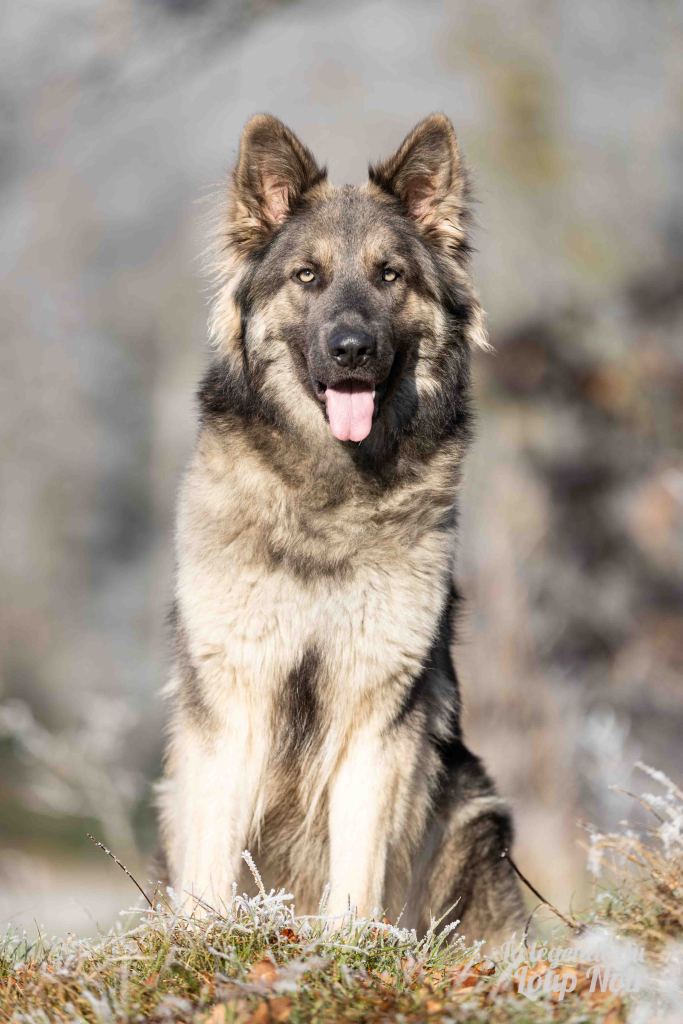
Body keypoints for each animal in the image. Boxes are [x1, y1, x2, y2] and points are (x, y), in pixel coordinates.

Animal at [158, 113, 523, 939]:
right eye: (306, 277)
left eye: (390, 276)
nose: (351, 350)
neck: (330, 493)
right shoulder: (235, 699)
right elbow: (212, 857)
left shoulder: (376, 713)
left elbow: (358, 863)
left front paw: (348, 943)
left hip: (473, 814)